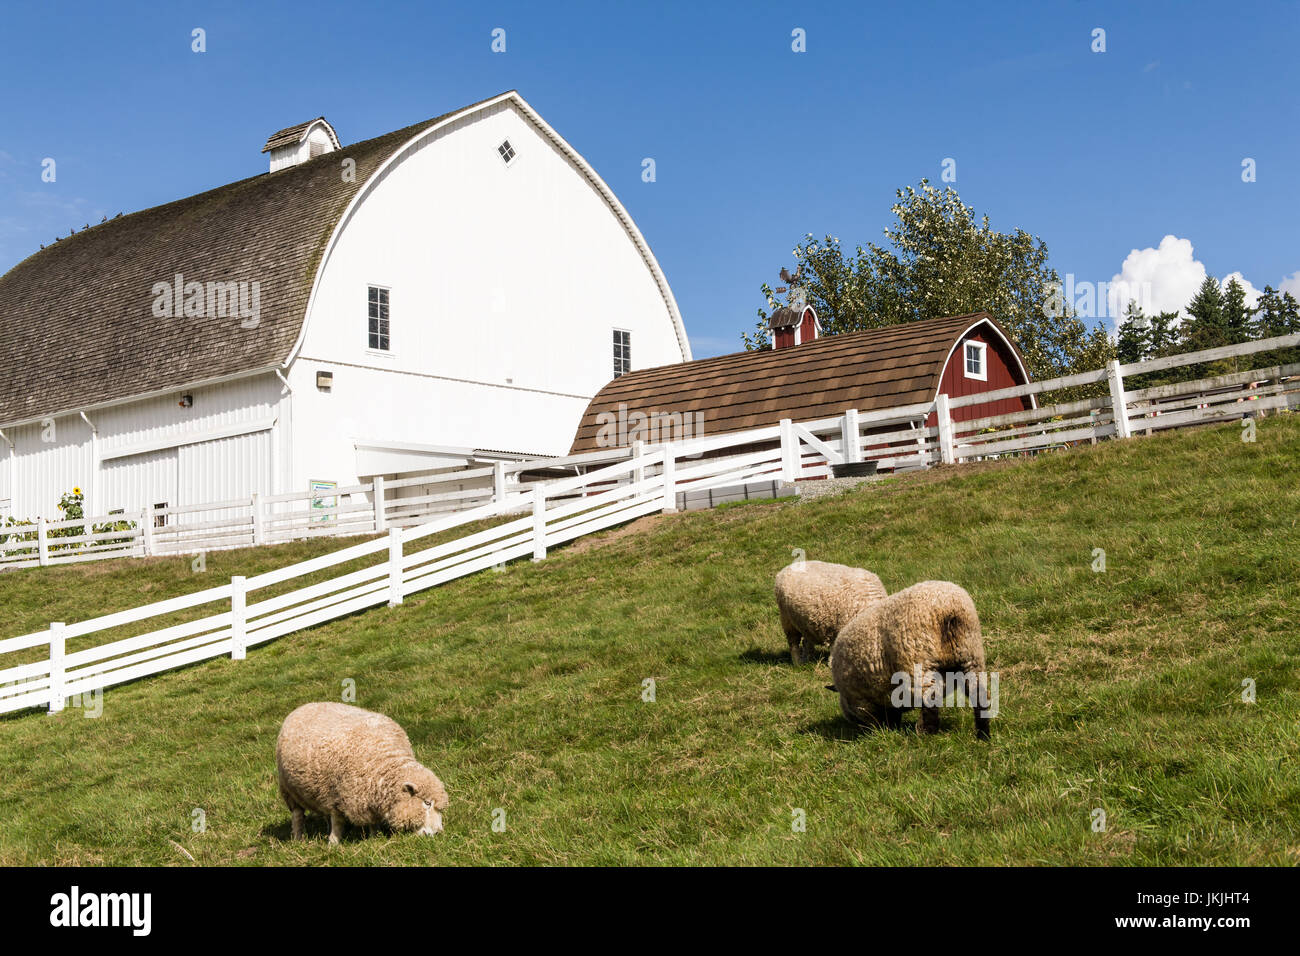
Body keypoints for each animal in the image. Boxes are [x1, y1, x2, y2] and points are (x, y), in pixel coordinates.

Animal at [275, 702, 452, 842]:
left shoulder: (369, 800)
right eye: (427, 803)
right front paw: (333, 843)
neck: (386, 764)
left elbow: (372, 823)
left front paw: (374, 837)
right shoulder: (337, 797)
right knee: (297, 816)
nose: (438, 832)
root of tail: (303, 706)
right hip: (289, 791)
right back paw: (298, 839)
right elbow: (337, 822)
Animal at [826, 580, 987, 743]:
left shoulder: (864, 698)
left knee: (930, 700)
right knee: (979, 695)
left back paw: (926, 733)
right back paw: (983, 735)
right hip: (971, 653)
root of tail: (950, 608)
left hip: (918, 660)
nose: (862, 729)